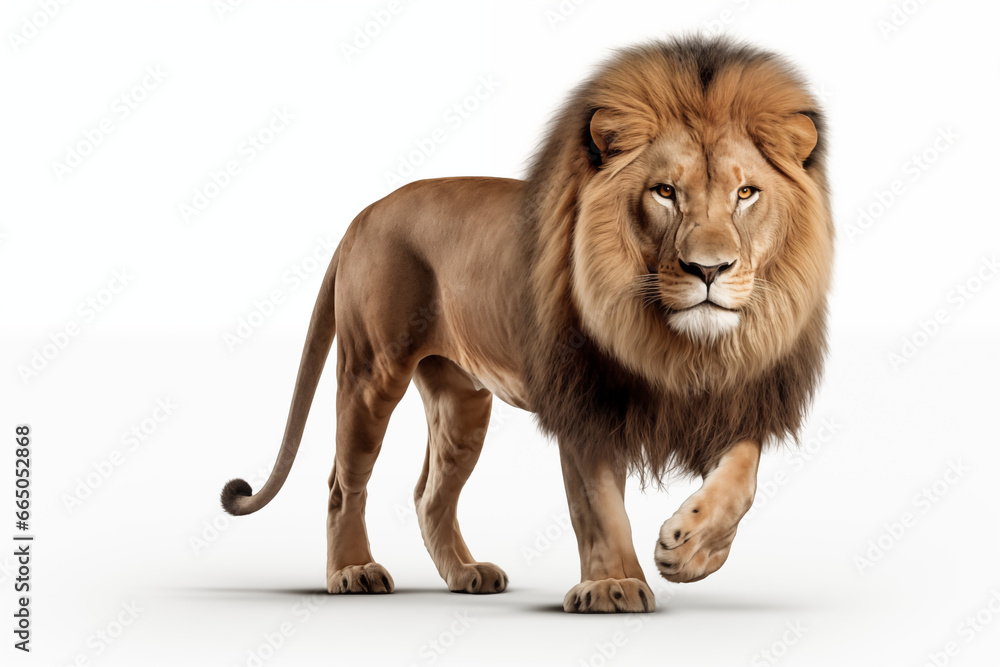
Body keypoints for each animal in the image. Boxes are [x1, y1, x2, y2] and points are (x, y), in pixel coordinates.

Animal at [221, 36, 833, 614]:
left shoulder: (743, 393)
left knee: (429, 494)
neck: (679, 344)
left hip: (461, 401)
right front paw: (612, 586)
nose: (709, 269)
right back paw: (352, 572)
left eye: (745, 193)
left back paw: (467, 574)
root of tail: (363, 215)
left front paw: (690, 549)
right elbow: (598, 505)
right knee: (342, 482)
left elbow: (742, 480)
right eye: (665, 192)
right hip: (372, 372)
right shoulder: (585, 400)